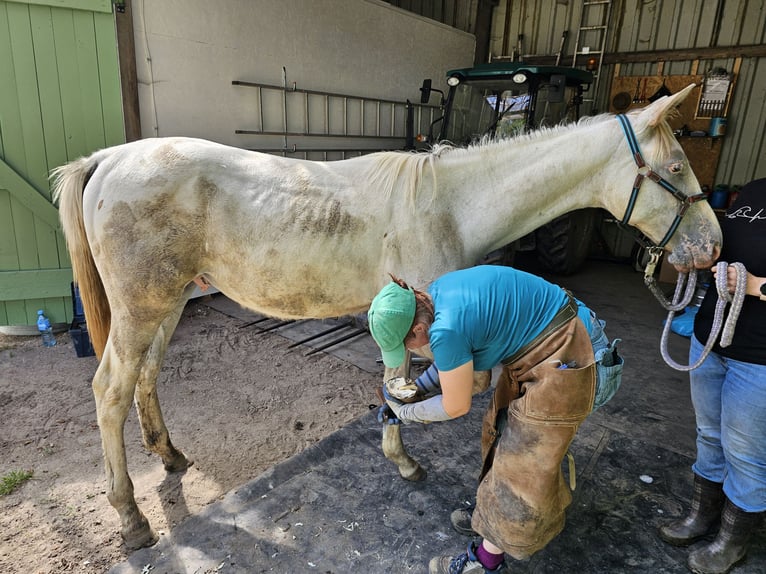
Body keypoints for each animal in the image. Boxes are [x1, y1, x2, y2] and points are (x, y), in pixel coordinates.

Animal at [52, 83, 720, 552]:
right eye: (678, 168)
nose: (711, 249)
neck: (451, 204)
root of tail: (108, 159)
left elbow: (398, 381)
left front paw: (397, 443)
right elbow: (412, 382)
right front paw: (404, 460)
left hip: (165, 304)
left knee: (146, 377)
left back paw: (168, 455)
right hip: (142, 307)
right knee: (110, 391)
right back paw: (131, 517)